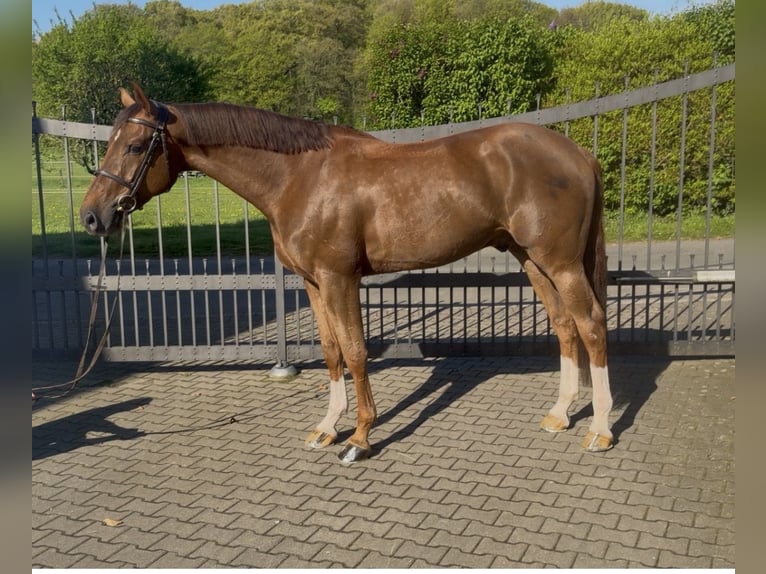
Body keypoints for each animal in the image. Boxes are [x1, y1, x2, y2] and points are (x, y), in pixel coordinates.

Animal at [80, 84, 614, 463]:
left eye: (134, 146)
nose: (92, 217)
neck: (298, 177)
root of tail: (580, 154)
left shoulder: (340, 279)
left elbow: (356, 353)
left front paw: (359, 437)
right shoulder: (314, 282)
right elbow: (332, 352)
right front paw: (327, 428)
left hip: (561, 263)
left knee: (590, 325)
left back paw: (600, 429)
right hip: (532, 260)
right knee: (565, 327)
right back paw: (560, 414)